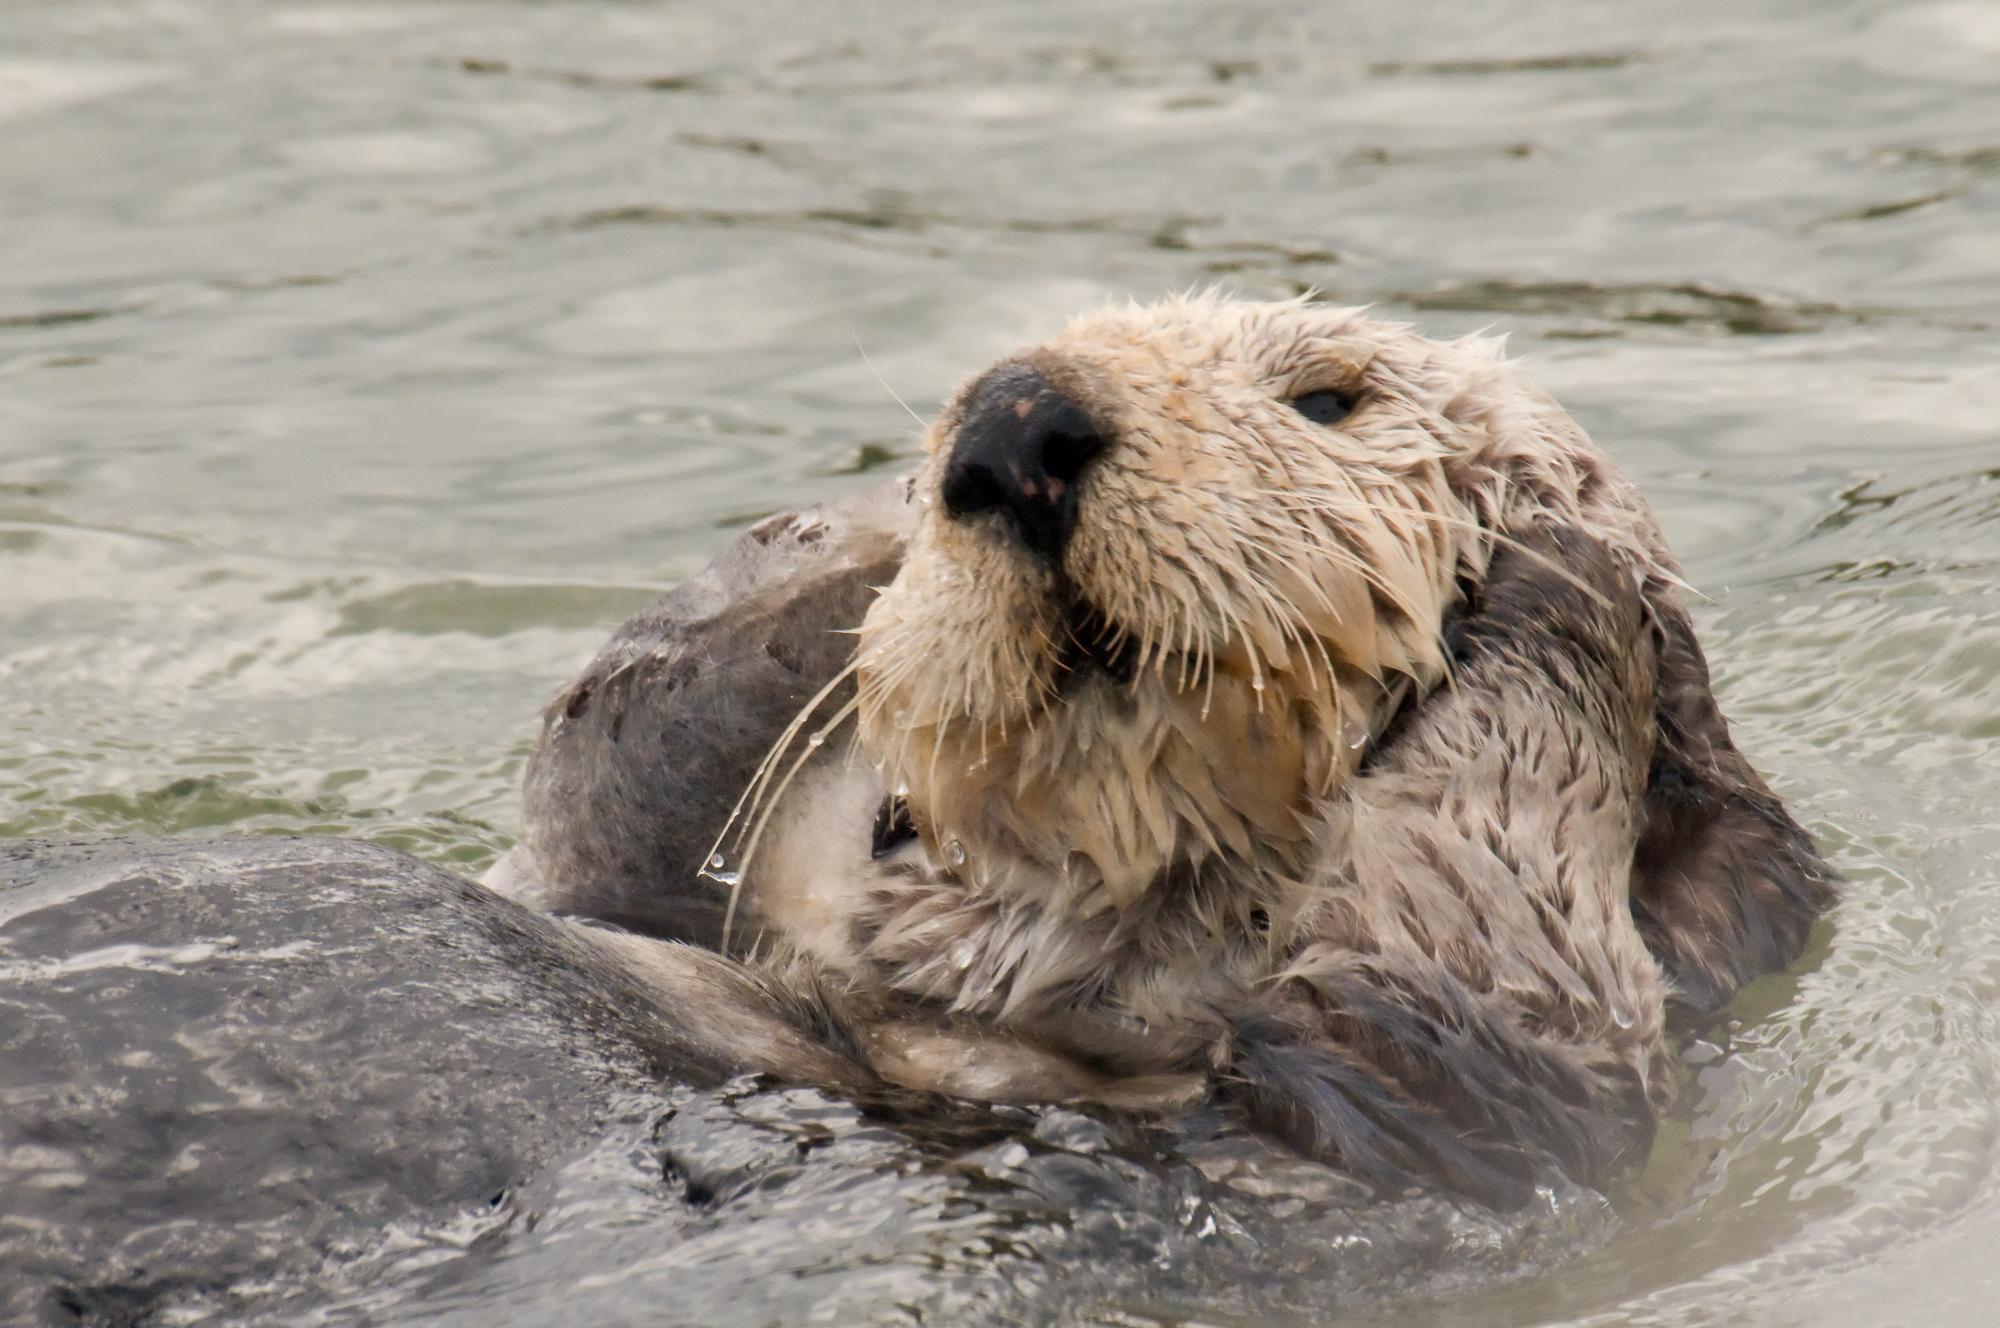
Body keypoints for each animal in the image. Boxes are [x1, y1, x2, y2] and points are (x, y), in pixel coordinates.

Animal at [484, 294, 1832, 1200]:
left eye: (1327, 396)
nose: (1014, 427)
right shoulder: (604, 871)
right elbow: (604, 755)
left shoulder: (1443, 1119)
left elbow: (1497, 978)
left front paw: (1557, 575)